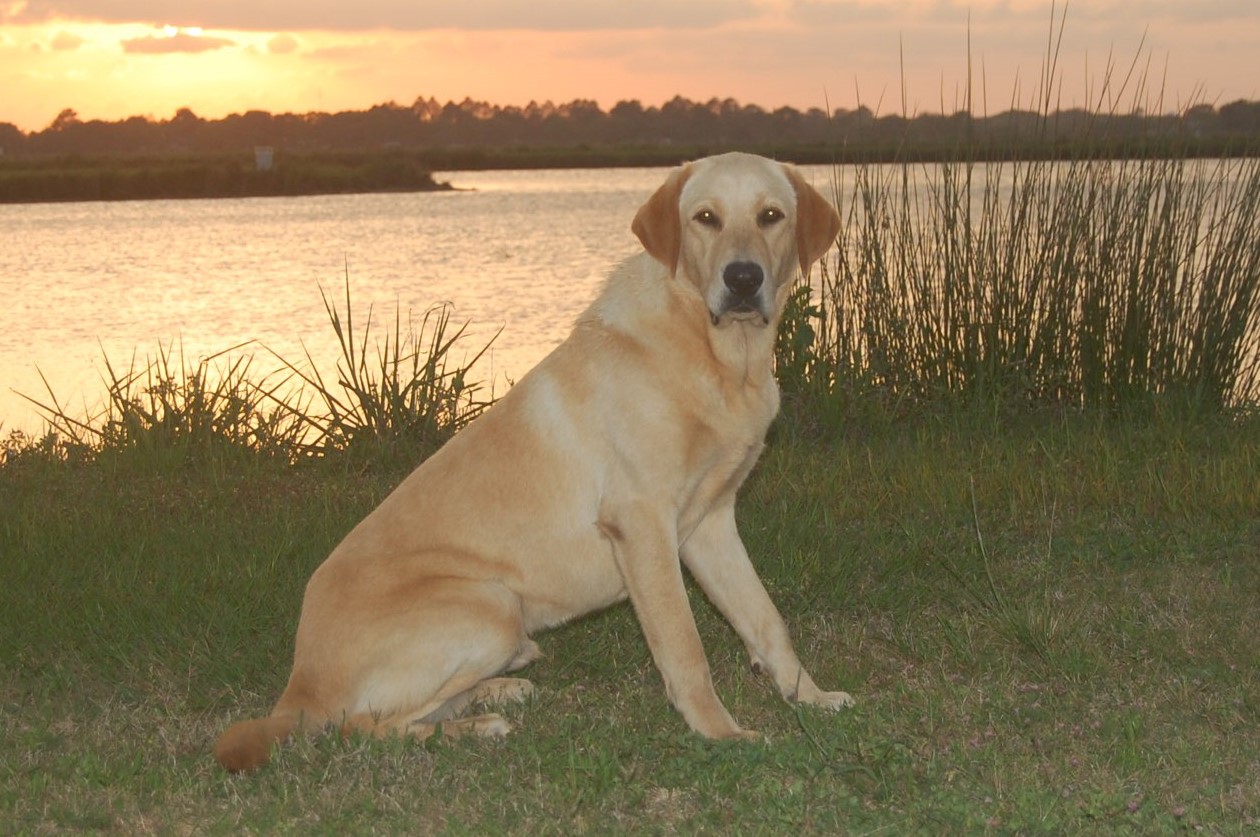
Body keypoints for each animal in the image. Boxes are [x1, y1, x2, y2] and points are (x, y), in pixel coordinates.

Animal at [211, 151, 851, 771]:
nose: (742, 279)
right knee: (361, 728)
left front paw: (810, 697)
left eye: (770, 216)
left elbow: (765, 618)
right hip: (490, 605)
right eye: (706, 218)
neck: (718, 354)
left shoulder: (710, 524)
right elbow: (684, 645)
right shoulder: (642, 524)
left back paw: (498, 690)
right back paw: (474, 726)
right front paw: (721, 734)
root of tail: (299, 687)